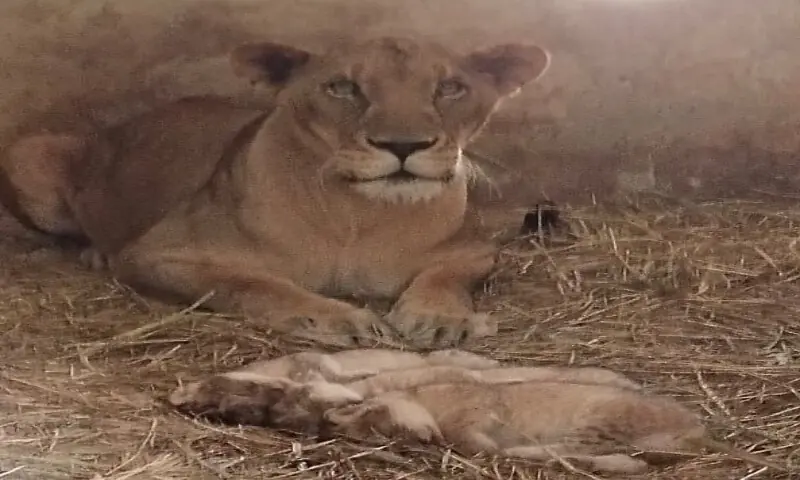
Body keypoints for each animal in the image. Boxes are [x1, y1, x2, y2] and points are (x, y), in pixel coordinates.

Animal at [0, 37, 551, 347]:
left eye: (450, 88)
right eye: (343, 87)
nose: (402, 145)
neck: (358, 214)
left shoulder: (474, 249)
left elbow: (448, 277)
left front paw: (438, 318)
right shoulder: (156, 252)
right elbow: (251, 283)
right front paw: (334, 317)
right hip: (28, 152)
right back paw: (93, 252)